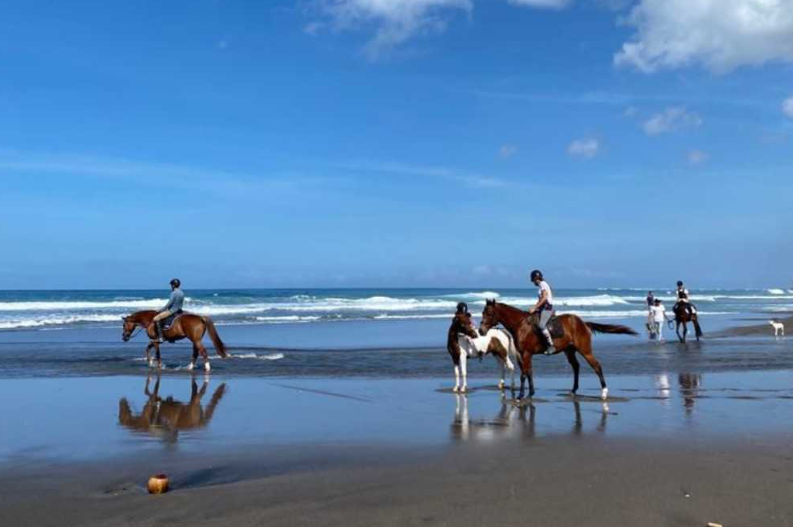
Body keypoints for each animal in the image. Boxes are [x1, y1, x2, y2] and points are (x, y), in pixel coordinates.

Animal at [479, 300, 638, 400]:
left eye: (489, 313)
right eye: (482, 312)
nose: (481, 330)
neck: (521, 325)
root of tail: (583, 323)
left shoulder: (526, 354)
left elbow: (524, 374)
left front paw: (520, 396)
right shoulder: (523, 354)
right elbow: (529, 372)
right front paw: (530, 393)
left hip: (585, 350)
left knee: (596, 366)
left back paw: (604, 392)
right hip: (569, 350)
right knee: (576, 366)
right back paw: (573, 390)